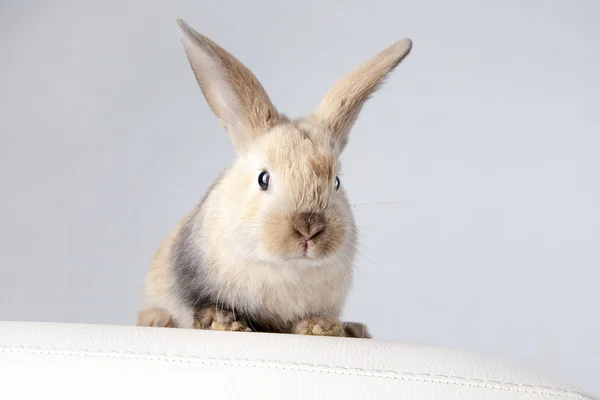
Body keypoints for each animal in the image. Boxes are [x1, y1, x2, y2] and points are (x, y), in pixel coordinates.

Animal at [135, 19, 410, 338]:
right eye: (263, 179)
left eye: (337, 182)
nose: (308, 228)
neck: (286, 268)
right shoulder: (192, 286)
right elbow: (207, 309)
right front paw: (227, 325)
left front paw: (320, 328)